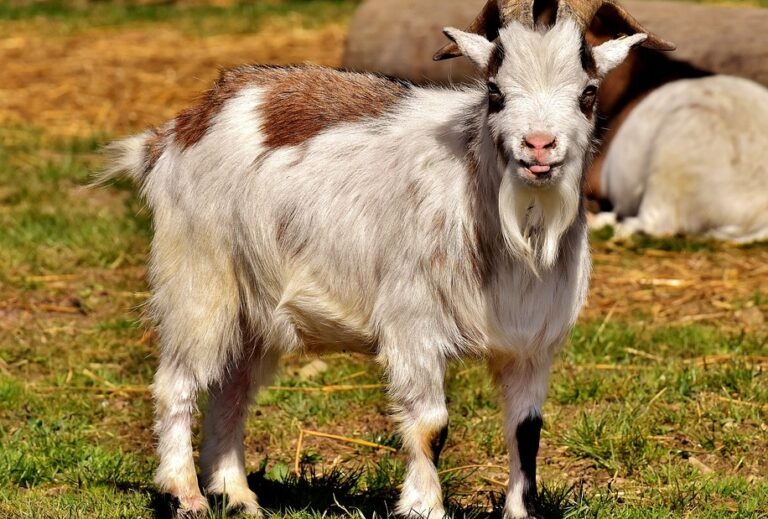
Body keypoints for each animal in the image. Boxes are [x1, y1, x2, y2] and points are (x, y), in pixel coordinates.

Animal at [99, 18, 643, 519]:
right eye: (495, 92)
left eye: (588, 94)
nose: (539, 145)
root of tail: (180, 128)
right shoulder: (414, 323)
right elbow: (431, 424)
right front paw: (424, 507)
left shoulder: (531, 342)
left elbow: (526, 430)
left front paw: (519, 511)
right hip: (199, 276)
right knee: (177, 383)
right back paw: (186, 495)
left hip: (254, 310)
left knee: (230, 392)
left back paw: (238, 497)